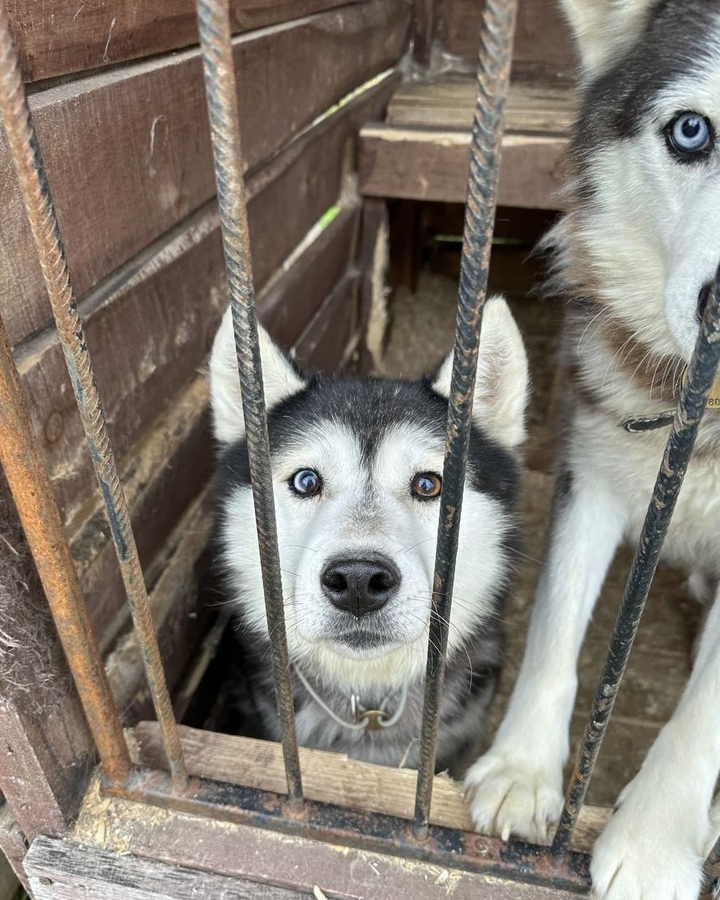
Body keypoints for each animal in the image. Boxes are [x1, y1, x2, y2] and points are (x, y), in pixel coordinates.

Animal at [464, 1, 720, 900]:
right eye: (691, 130)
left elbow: (703, 713)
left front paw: (655, 838)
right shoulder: (592, 476)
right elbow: (553, 636)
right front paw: (522, 769)